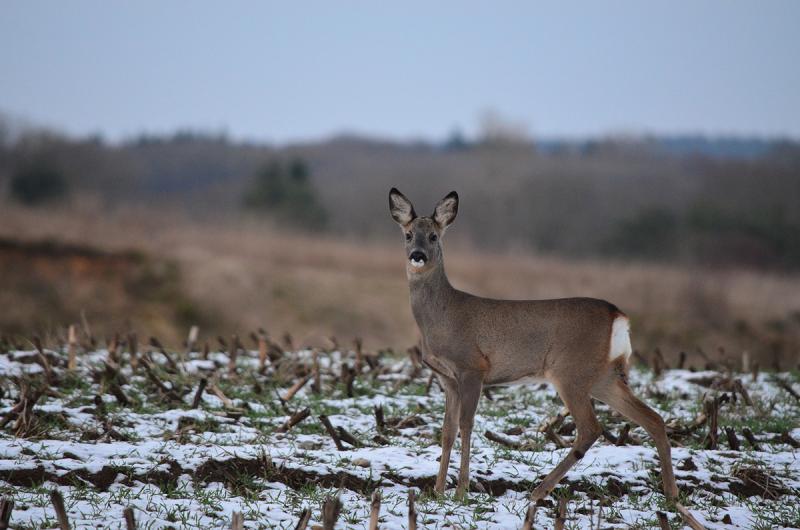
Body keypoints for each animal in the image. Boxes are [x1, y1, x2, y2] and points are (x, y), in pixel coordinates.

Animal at [388, 188, 680, 502]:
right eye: (408, 234)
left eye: (433, 236)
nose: (417, 256)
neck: (442, 316)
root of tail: (618, 316)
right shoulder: (446, 378)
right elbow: (447, 430)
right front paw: (438, 490)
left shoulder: (472, 367)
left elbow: (466, 425)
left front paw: (461, 490)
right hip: (603, 376)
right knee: (653, 418)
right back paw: (672, 495)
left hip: (570, 371)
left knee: (591, 428)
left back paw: (539, 490)